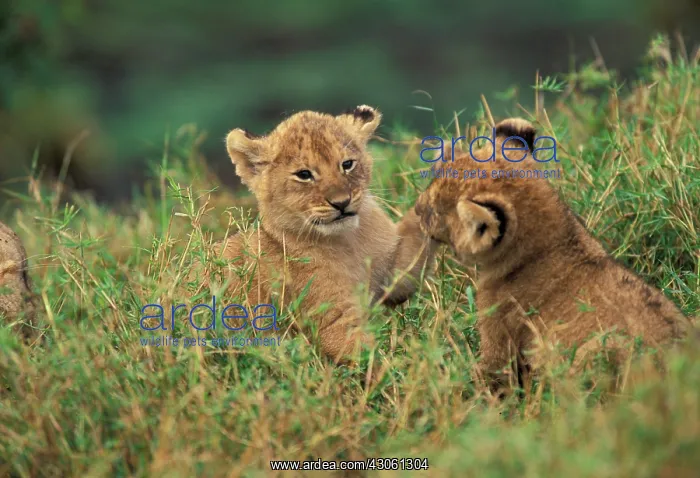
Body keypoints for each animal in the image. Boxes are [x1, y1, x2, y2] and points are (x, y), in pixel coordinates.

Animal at [206, 106, 437, 364]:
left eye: (347, 164)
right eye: (304, 174)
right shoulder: (332, 323)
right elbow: (373, 357)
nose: (342, 203)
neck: (348, 241)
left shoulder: (393, 276)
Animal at [414, 118, 693, 387]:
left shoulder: (498, 337)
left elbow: (483, 377)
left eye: (435, 211)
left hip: (595, 353)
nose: (416, 209)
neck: (556, 239)